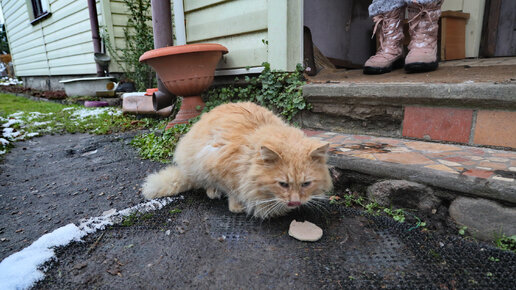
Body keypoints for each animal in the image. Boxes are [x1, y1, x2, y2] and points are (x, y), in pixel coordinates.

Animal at [143, 102, 332, 218]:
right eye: (283, 184)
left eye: (306, 184)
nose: (295, 202)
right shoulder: (217, 163)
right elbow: (232, 190)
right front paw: (237, 206)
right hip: (196, 165)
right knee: (204, 183)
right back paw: (213, 191)